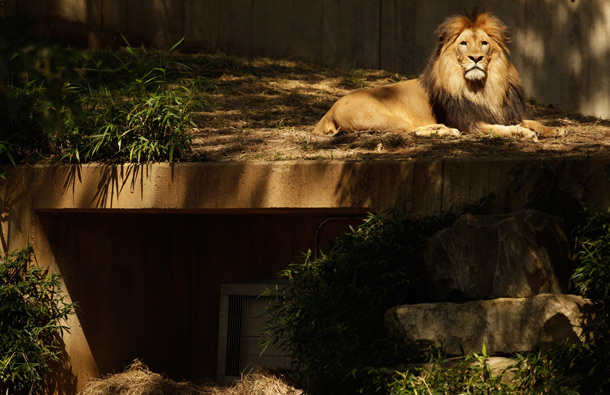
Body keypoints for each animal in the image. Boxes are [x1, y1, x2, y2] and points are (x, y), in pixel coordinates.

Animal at [312, 8, 564, 141]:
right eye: (463, 43)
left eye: (484, 43)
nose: (475, 58)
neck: (483, 88)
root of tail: (329, 111)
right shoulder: (470, 123)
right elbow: (500, 129)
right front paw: (523, 132)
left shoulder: (503, 112)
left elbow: (530, 120)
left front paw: (553, 128)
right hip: (380, 116)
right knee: (411, 131)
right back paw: (444, 130)